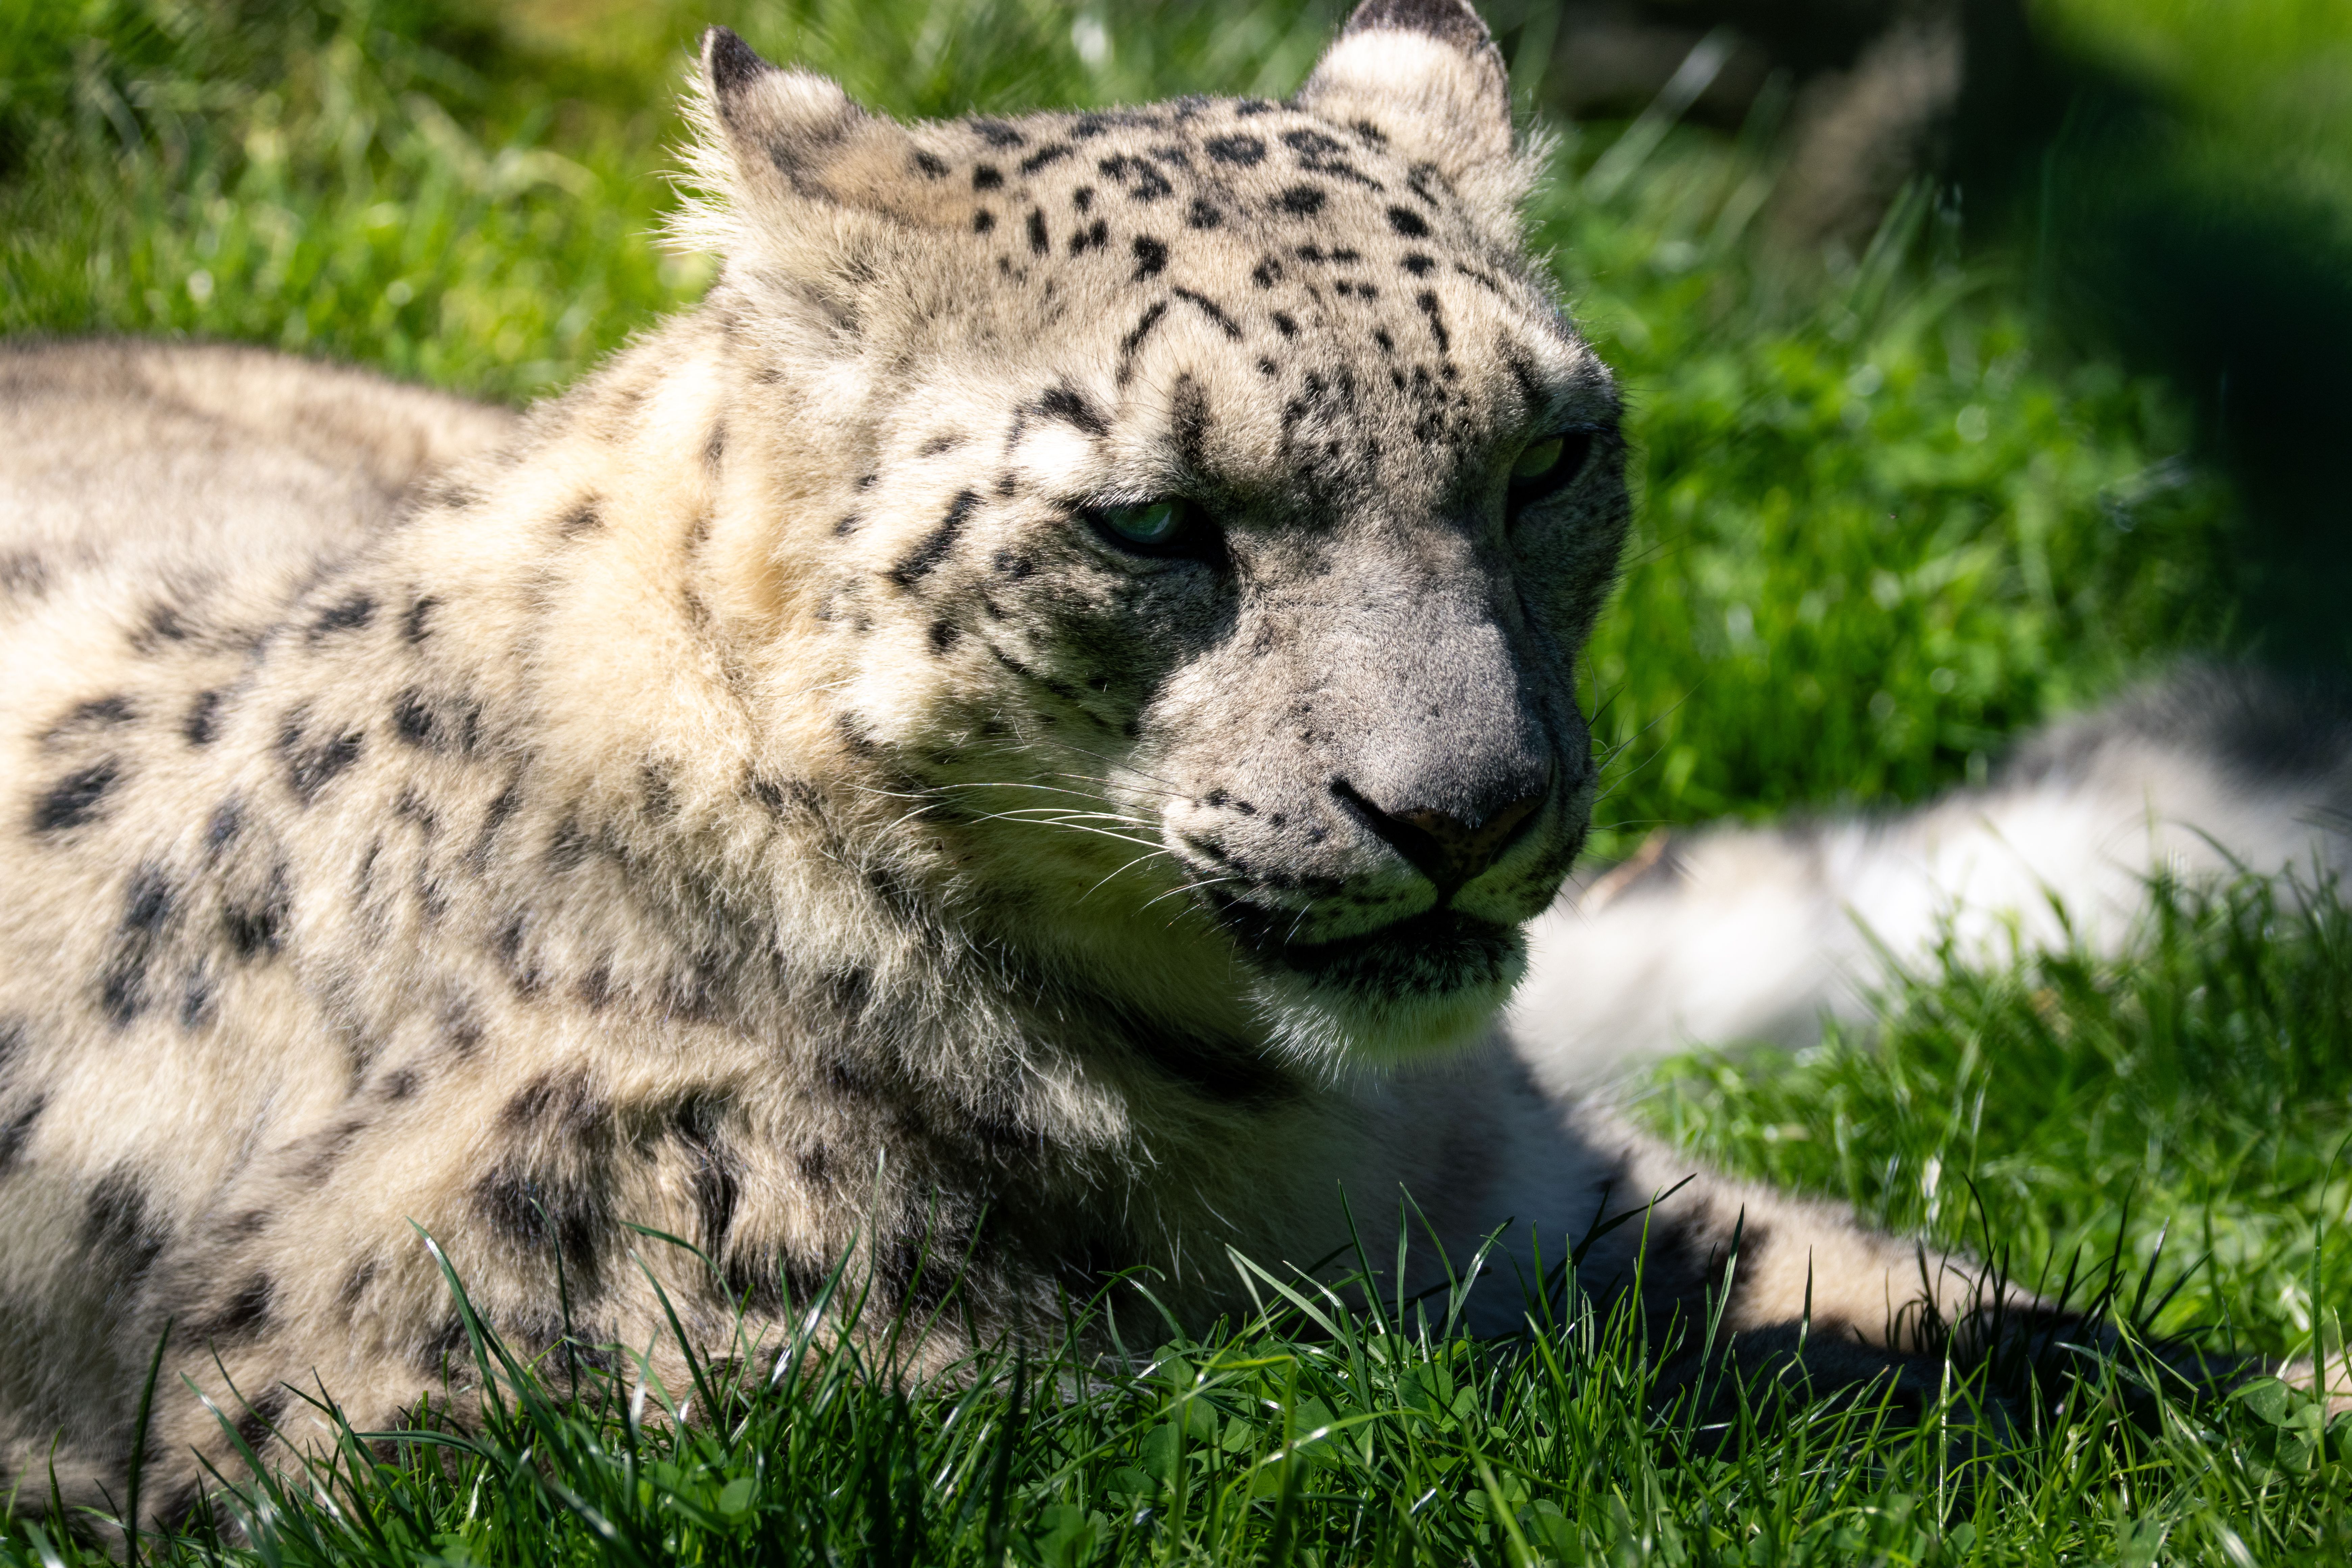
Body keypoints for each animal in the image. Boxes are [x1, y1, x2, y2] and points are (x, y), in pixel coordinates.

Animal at [2, 0, 2336, 1529]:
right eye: (1150, 524)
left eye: (1548, 457)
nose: (1468, 813)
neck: (1297, 1141)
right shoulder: (604, 1395)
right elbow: (1364, 1417)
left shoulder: (1579, 1208)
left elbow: (1965, 1309)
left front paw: (2269, 1391)